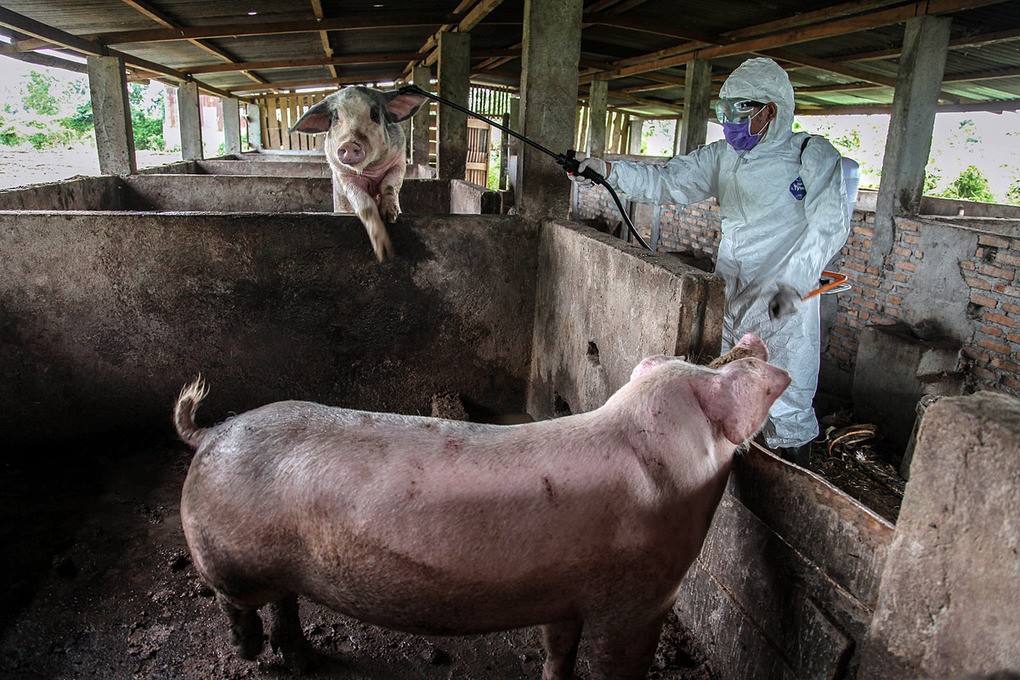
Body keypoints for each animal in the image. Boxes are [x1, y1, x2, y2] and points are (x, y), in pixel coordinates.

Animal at [171, 334, 787, 680]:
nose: (755, 342)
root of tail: (211, 433)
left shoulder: (563, 595)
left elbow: (559, 651)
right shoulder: (645, 598)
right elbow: (618, 663)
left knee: (285, 607)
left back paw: (302, 664)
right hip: (226, 556)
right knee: (235, 602)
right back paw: (249, 652)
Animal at [289, 86, 428, 263]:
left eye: (374, 114)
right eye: (335, 117)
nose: (349, 144)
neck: (370, 170)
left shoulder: (399, 161)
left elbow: (389, 184)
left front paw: (390, 216)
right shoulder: (343, 175)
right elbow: (363, 203)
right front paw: (383, 251)